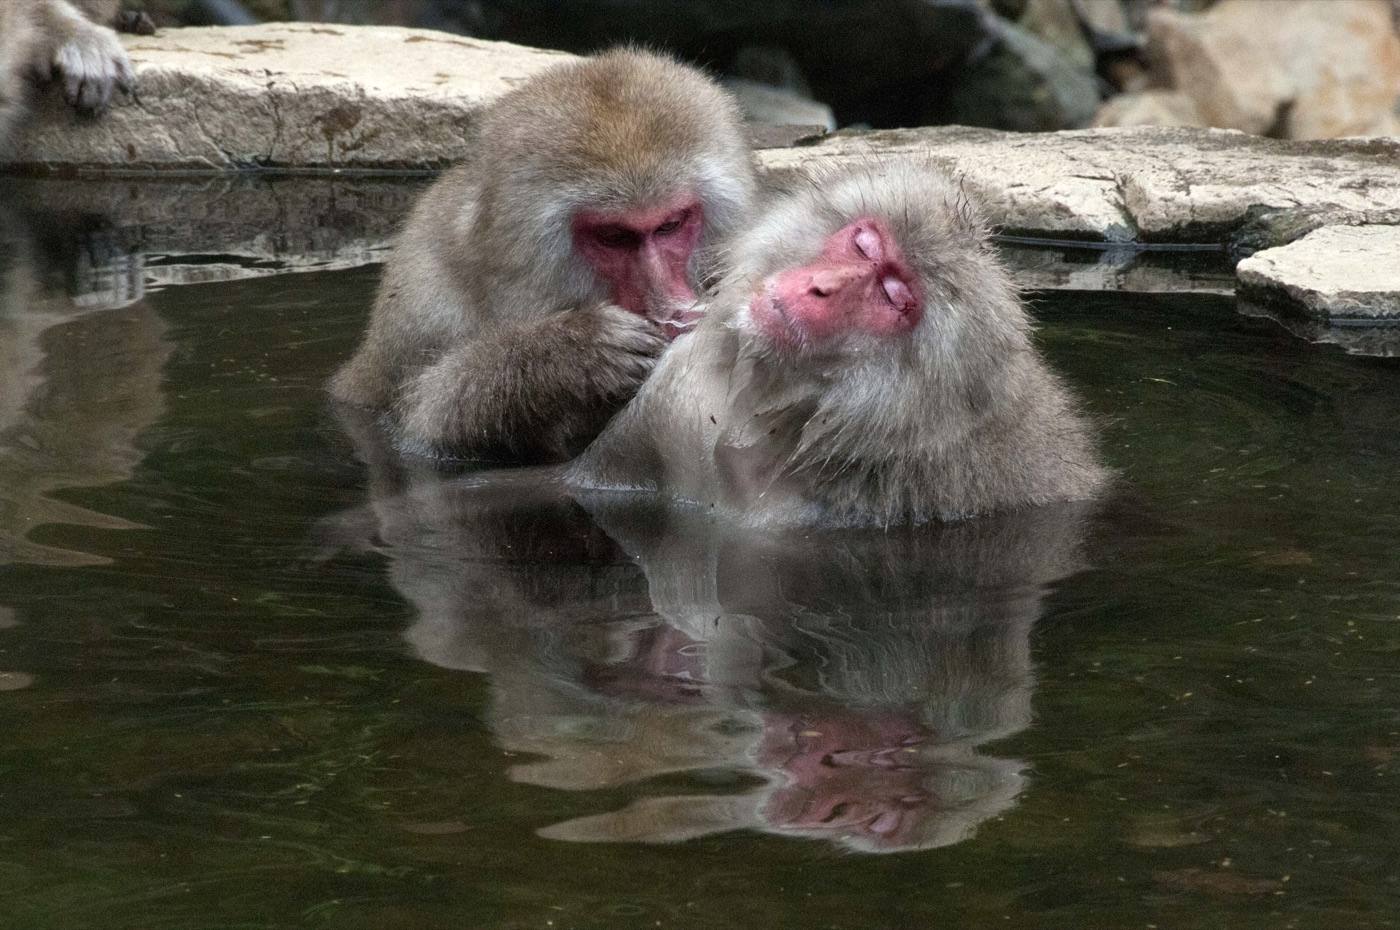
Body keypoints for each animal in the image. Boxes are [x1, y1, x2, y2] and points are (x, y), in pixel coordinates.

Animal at [328, 48, 758, 463]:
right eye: (614, 237)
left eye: (669, 225)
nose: (667, 305)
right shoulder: (423, 304)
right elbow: (424, 426)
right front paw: (569, 354)